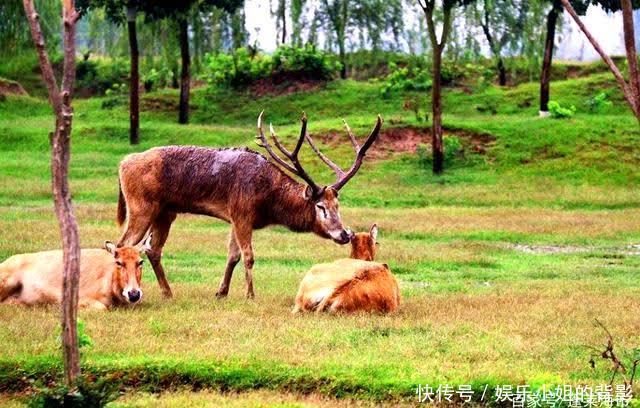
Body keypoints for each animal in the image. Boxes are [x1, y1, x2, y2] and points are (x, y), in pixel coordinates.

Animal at [117, 111, 382, 300]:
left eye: (337, 205)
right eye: (320, 207)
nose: (344, 234)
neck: (268, 202)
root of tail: (123, 162)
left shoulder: (235, 218)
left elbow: (232, 255)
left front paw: (221, 292)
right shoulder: (242, 212)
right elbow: (248, 256)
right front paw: (250, 294)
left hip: (165, 211)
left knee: (152, 249)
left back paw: (168, 292)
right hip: (141, 206)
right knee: (123, 244)